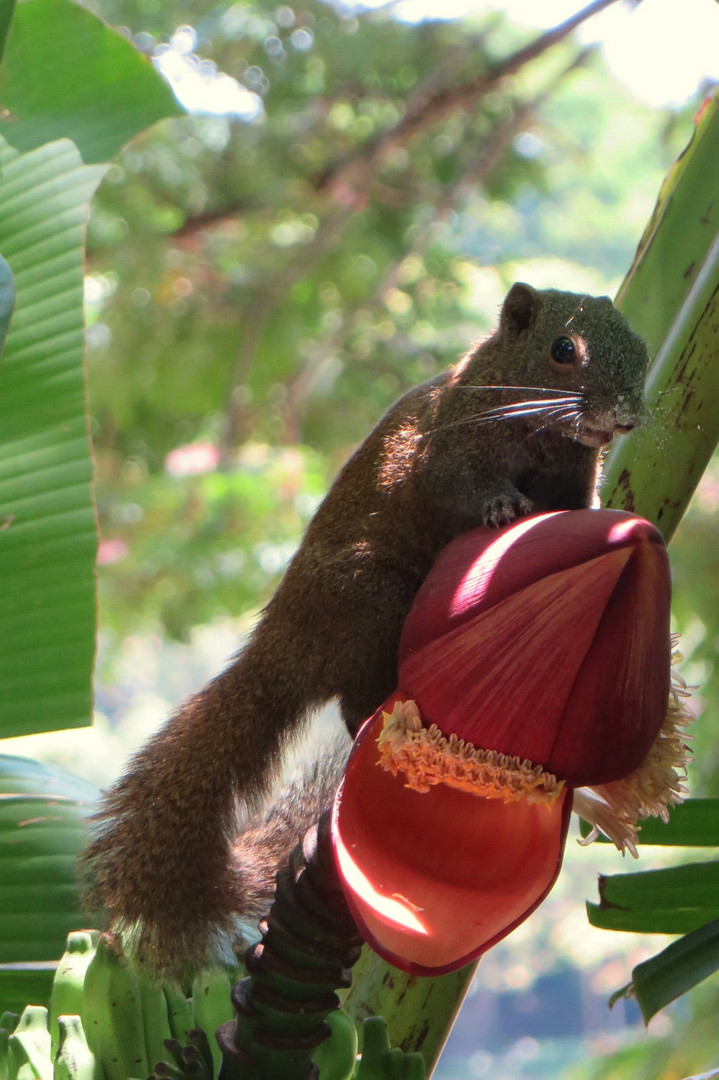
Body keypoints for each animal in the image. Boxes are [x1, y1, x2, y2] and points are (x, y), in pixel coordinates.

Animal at [80, 285, 647, 980]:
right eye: (564, 349)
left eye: (640, 344)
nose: (626, 417)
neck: (537, 427)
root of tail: (285, 647)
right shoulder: (447, 449)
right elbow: (461, 484)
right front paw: (502, 507)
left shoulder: (575, 473)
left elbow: (577, 507)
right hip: (374, 607)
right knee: (357, 705)